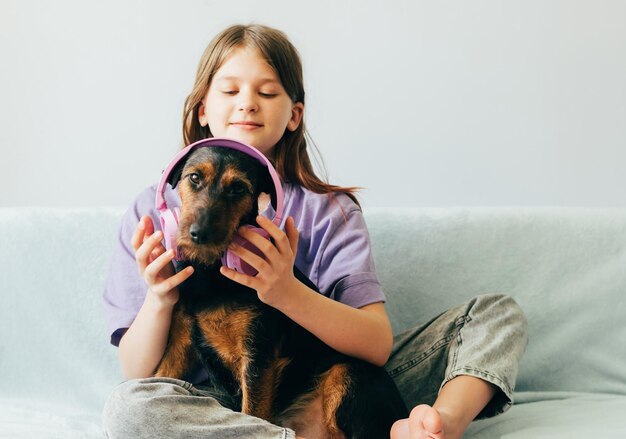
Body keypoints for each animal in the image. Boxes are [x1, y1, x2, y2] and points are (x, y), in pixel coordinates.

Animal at [154, 144, 408, 436]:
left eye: (238, 188)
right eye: (194, 178)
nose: (200, 234)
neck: (211, 271)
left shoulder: (257, 355)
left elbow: (251, 415)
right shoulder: (180, 341)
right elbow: (155, 377)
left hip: (348, 374)